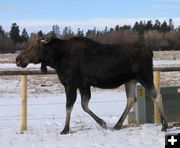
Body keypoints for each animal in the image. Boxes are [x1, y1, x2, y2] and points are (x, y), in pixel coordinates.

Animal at [15, 35, 169, 134]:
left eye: (33, 46)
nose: (18, 59)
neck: (56, 60)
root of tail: (151, 52)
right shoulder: (83, 85)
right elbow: (84, 105)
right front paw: (102, 123)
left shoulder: (71, 84)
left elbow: (69, 107)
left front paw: (65, 129)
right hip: (130, 80)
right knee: (131, 99)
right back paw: (118, 125)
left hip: (145, 77)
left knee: (157, 96)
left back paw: (165, 126)